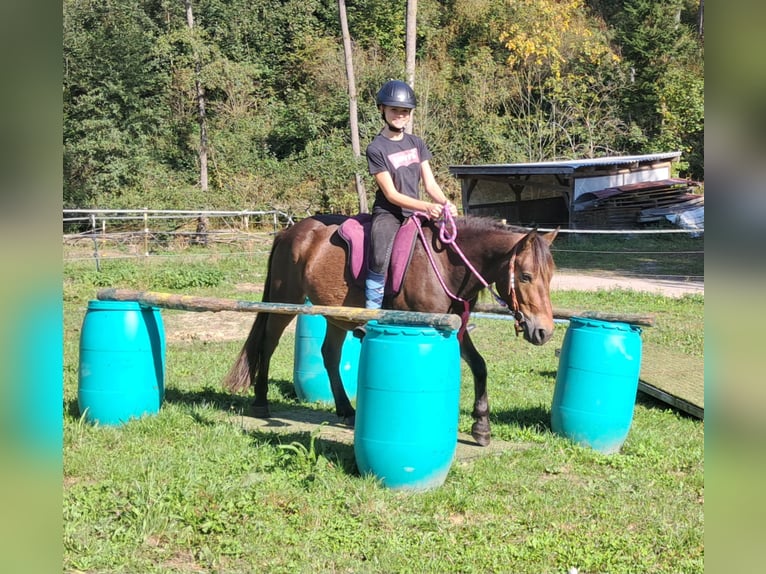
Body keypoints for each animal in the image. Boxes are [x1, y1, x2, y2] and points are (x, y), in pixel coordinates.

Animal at [222, 214, 560, 448]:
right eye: (526, 276)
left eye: (550, 276)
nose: (543, 331)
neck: (445, 264)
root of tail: (289, 232)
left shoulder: (453, 327)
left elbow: (479, 366)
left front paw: (482, 428)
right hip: (286, 300)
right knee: (267, 344)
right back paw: (261, 401)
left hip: (334, 313)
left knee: (329, 355)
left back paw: (346, 410)